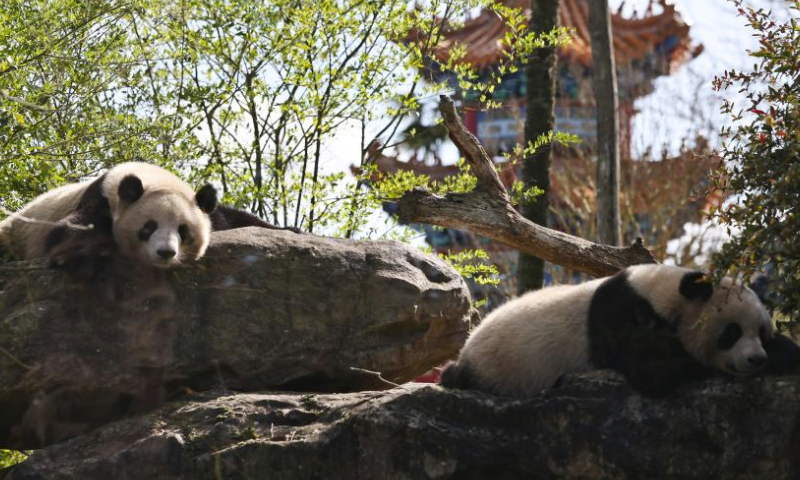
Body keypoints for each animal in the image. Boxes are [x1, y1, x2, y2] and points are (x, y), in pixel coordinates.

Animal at [440, 264, 800, 397]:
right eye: (732, 332)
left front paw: (786, 353)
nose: (756, 359)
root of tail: (466, 349)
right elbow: (654, 369)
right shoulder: (619, 316)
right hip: (498, 367)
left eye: (762, 332)